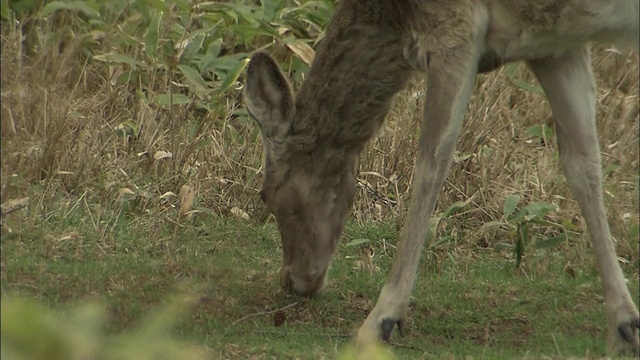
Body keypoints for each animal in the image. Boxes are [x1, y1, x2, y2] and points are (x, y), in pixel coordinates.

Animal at [244, 0, 640, 354]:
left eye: (265, 194)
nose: (292, 281)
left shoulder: (454, 28)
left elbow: (431, 163)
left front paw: (380, 321)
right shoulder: (555, 44)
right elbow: (583, 163)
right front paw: (623, 326)